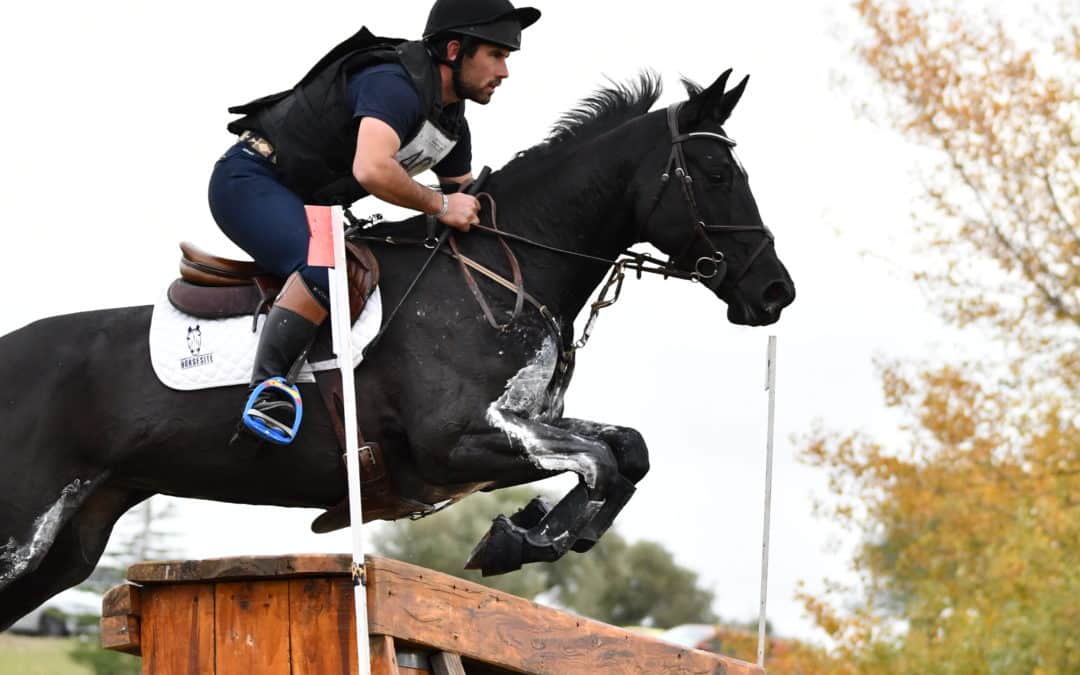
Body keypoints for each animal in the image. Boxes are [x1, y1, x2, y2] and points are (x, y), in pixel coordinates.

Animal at [0, 68, 794, 626]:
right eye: (718, 176)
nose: (776, 293)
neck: (506, 269)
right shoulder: (456, 442)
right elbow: (600, 460)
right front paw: (523, 539)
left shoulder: (523, 424)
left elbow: (627, 450)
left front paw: (533, 530)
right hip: (19, 533)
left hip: (67, 546)